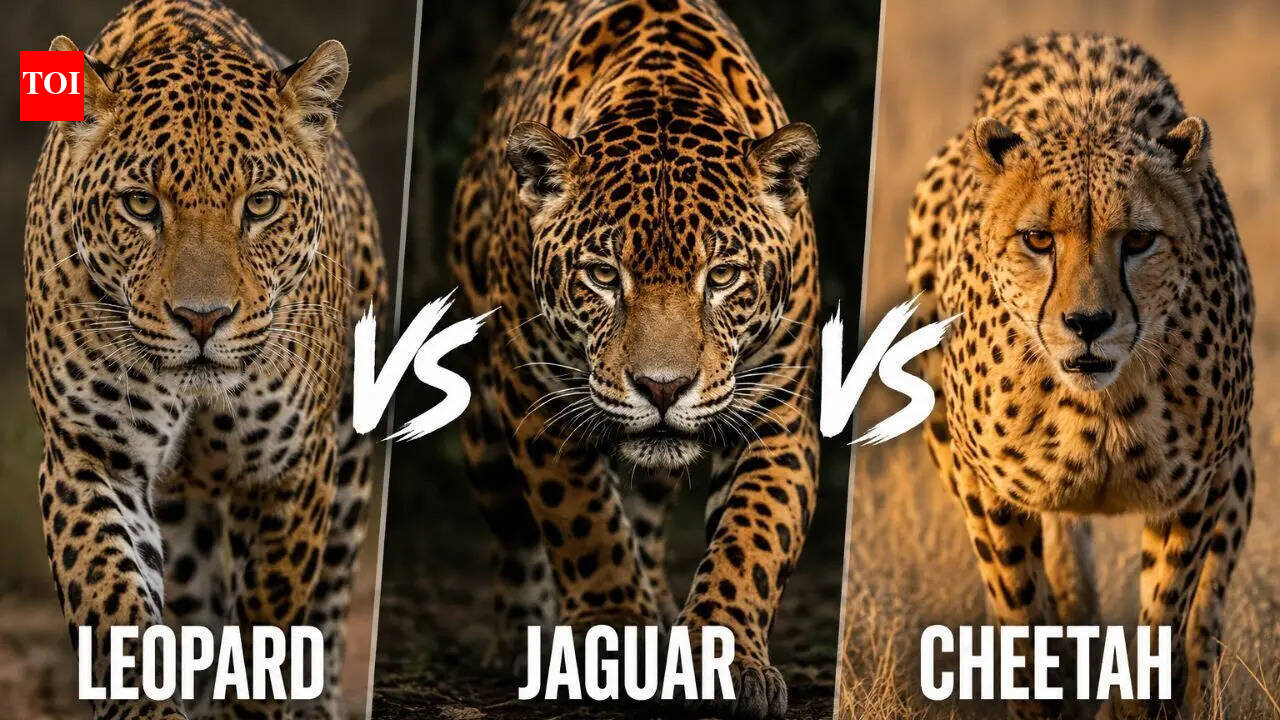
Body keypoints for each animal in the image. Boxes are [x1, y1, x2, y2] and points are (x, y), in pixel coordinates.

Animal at [24, 1, 387, 718]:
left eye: (261, 204)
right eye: (141, 204)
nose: (201, 319)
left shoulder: (288, 469)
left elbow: (269, 627)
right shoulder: (90, 454)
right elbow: (115, 605)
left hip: (351, 465)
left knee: (329, 610)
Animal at [447, 0, 821, 716]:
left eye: (723, 276)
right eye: (601, 275)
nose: (662, 388)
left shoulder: (778, 410)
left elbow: (752, 537)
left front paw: (725, 660)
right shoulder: (539, 401)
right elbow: (583, 522)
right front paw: (611, 641)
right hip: (482, 428)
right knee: (514, 532)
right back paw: (524, 638)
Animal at [906, 33, 1253, 719]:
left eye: (1139, 240)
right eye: (1039, 239)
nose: (1088, 322)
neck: (1101, 409)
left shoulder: (1199, 488)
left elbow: (1166, 613)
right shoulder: (981, 480)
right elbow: (1019, 605)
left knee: (1205, 619)